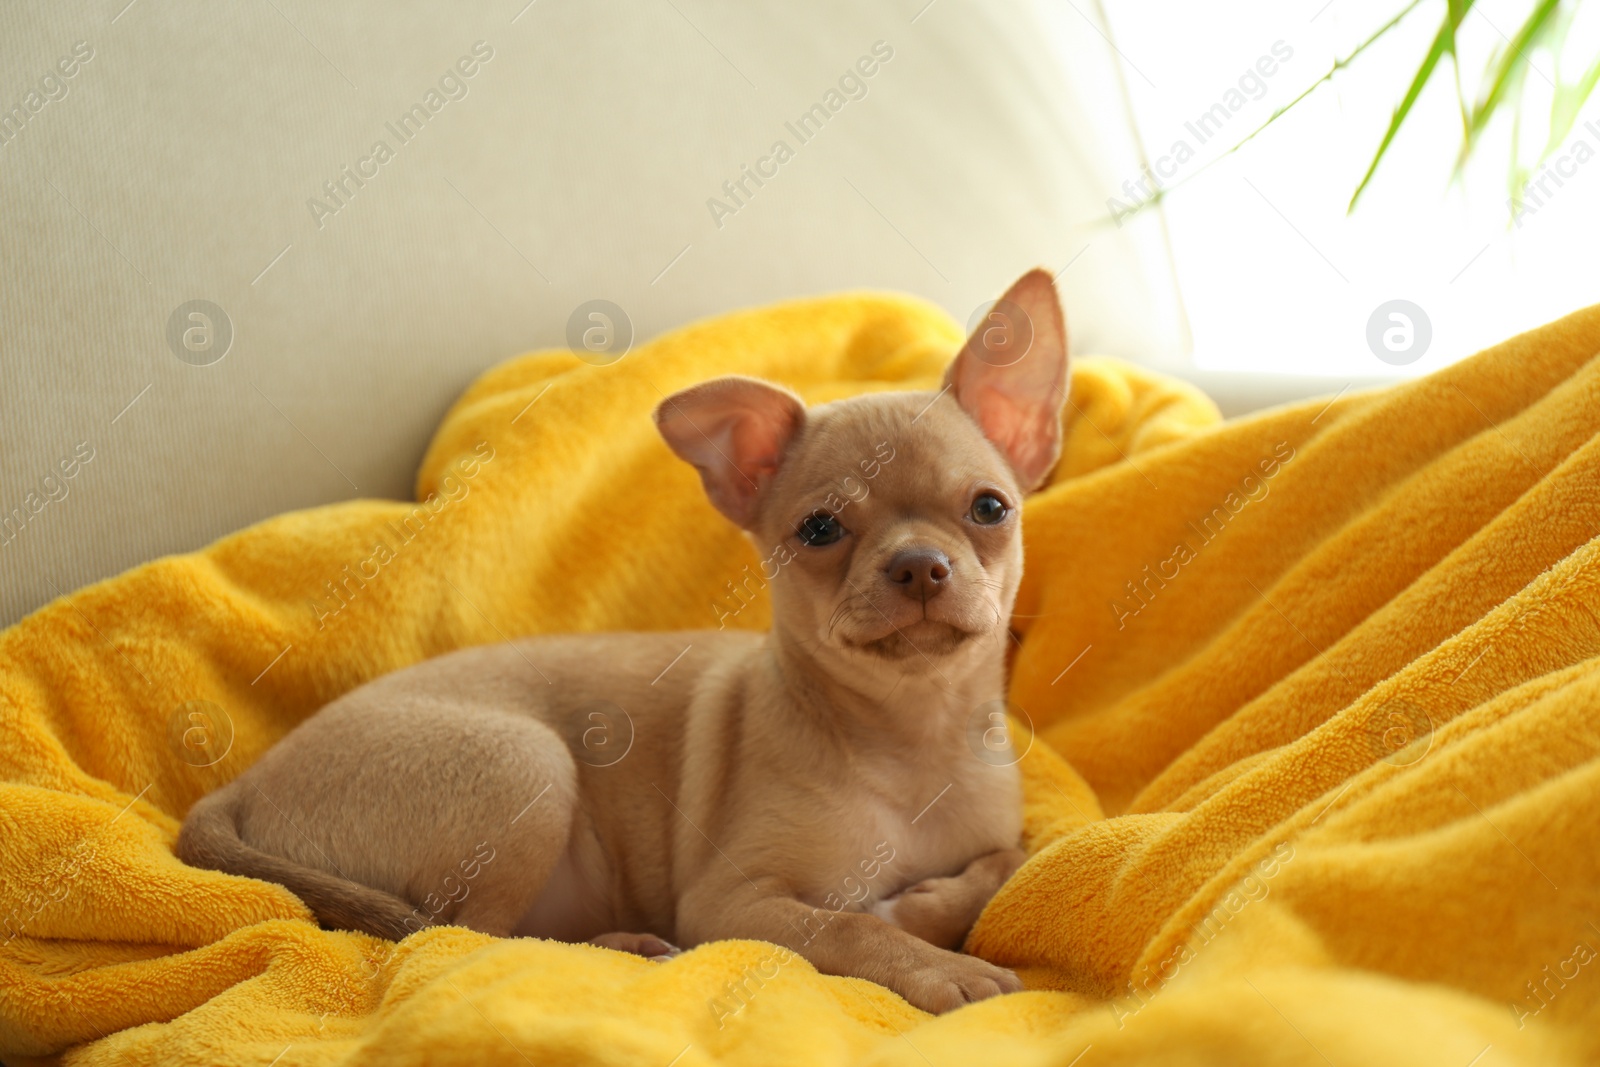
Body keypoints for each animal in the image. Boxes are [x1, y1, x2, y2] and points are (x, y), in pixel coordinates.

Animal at [181, 271, 1068, 1017]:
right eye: (820, 529)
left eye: (990, 508)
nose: (919, 563)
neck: (906, 735)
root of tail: (248, 781)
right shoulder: (730, 903)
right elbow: (852, 923)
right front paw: (938, 959)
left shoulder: (999, 835)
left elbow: (1007, 860)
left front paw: (930, 904)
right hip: (527, 765)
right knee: (465, 932)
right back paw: (625, 945)